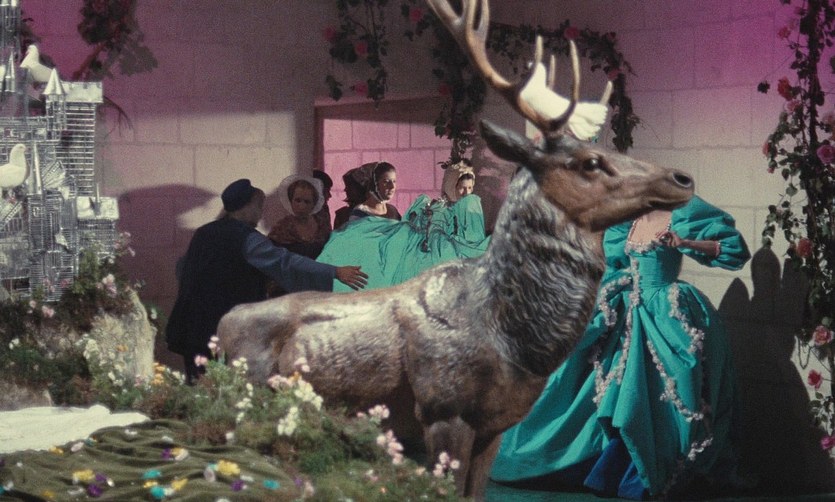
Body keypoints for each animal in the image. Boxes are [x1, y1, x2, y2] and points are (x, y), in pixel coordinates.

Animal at [217, 0, 694, 498]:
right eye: (589, 162)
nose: (681, 178)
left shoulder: (496, 425)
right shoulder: (443, 413)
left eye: (608, 148)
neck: (513, 340)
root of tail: (222, 327)